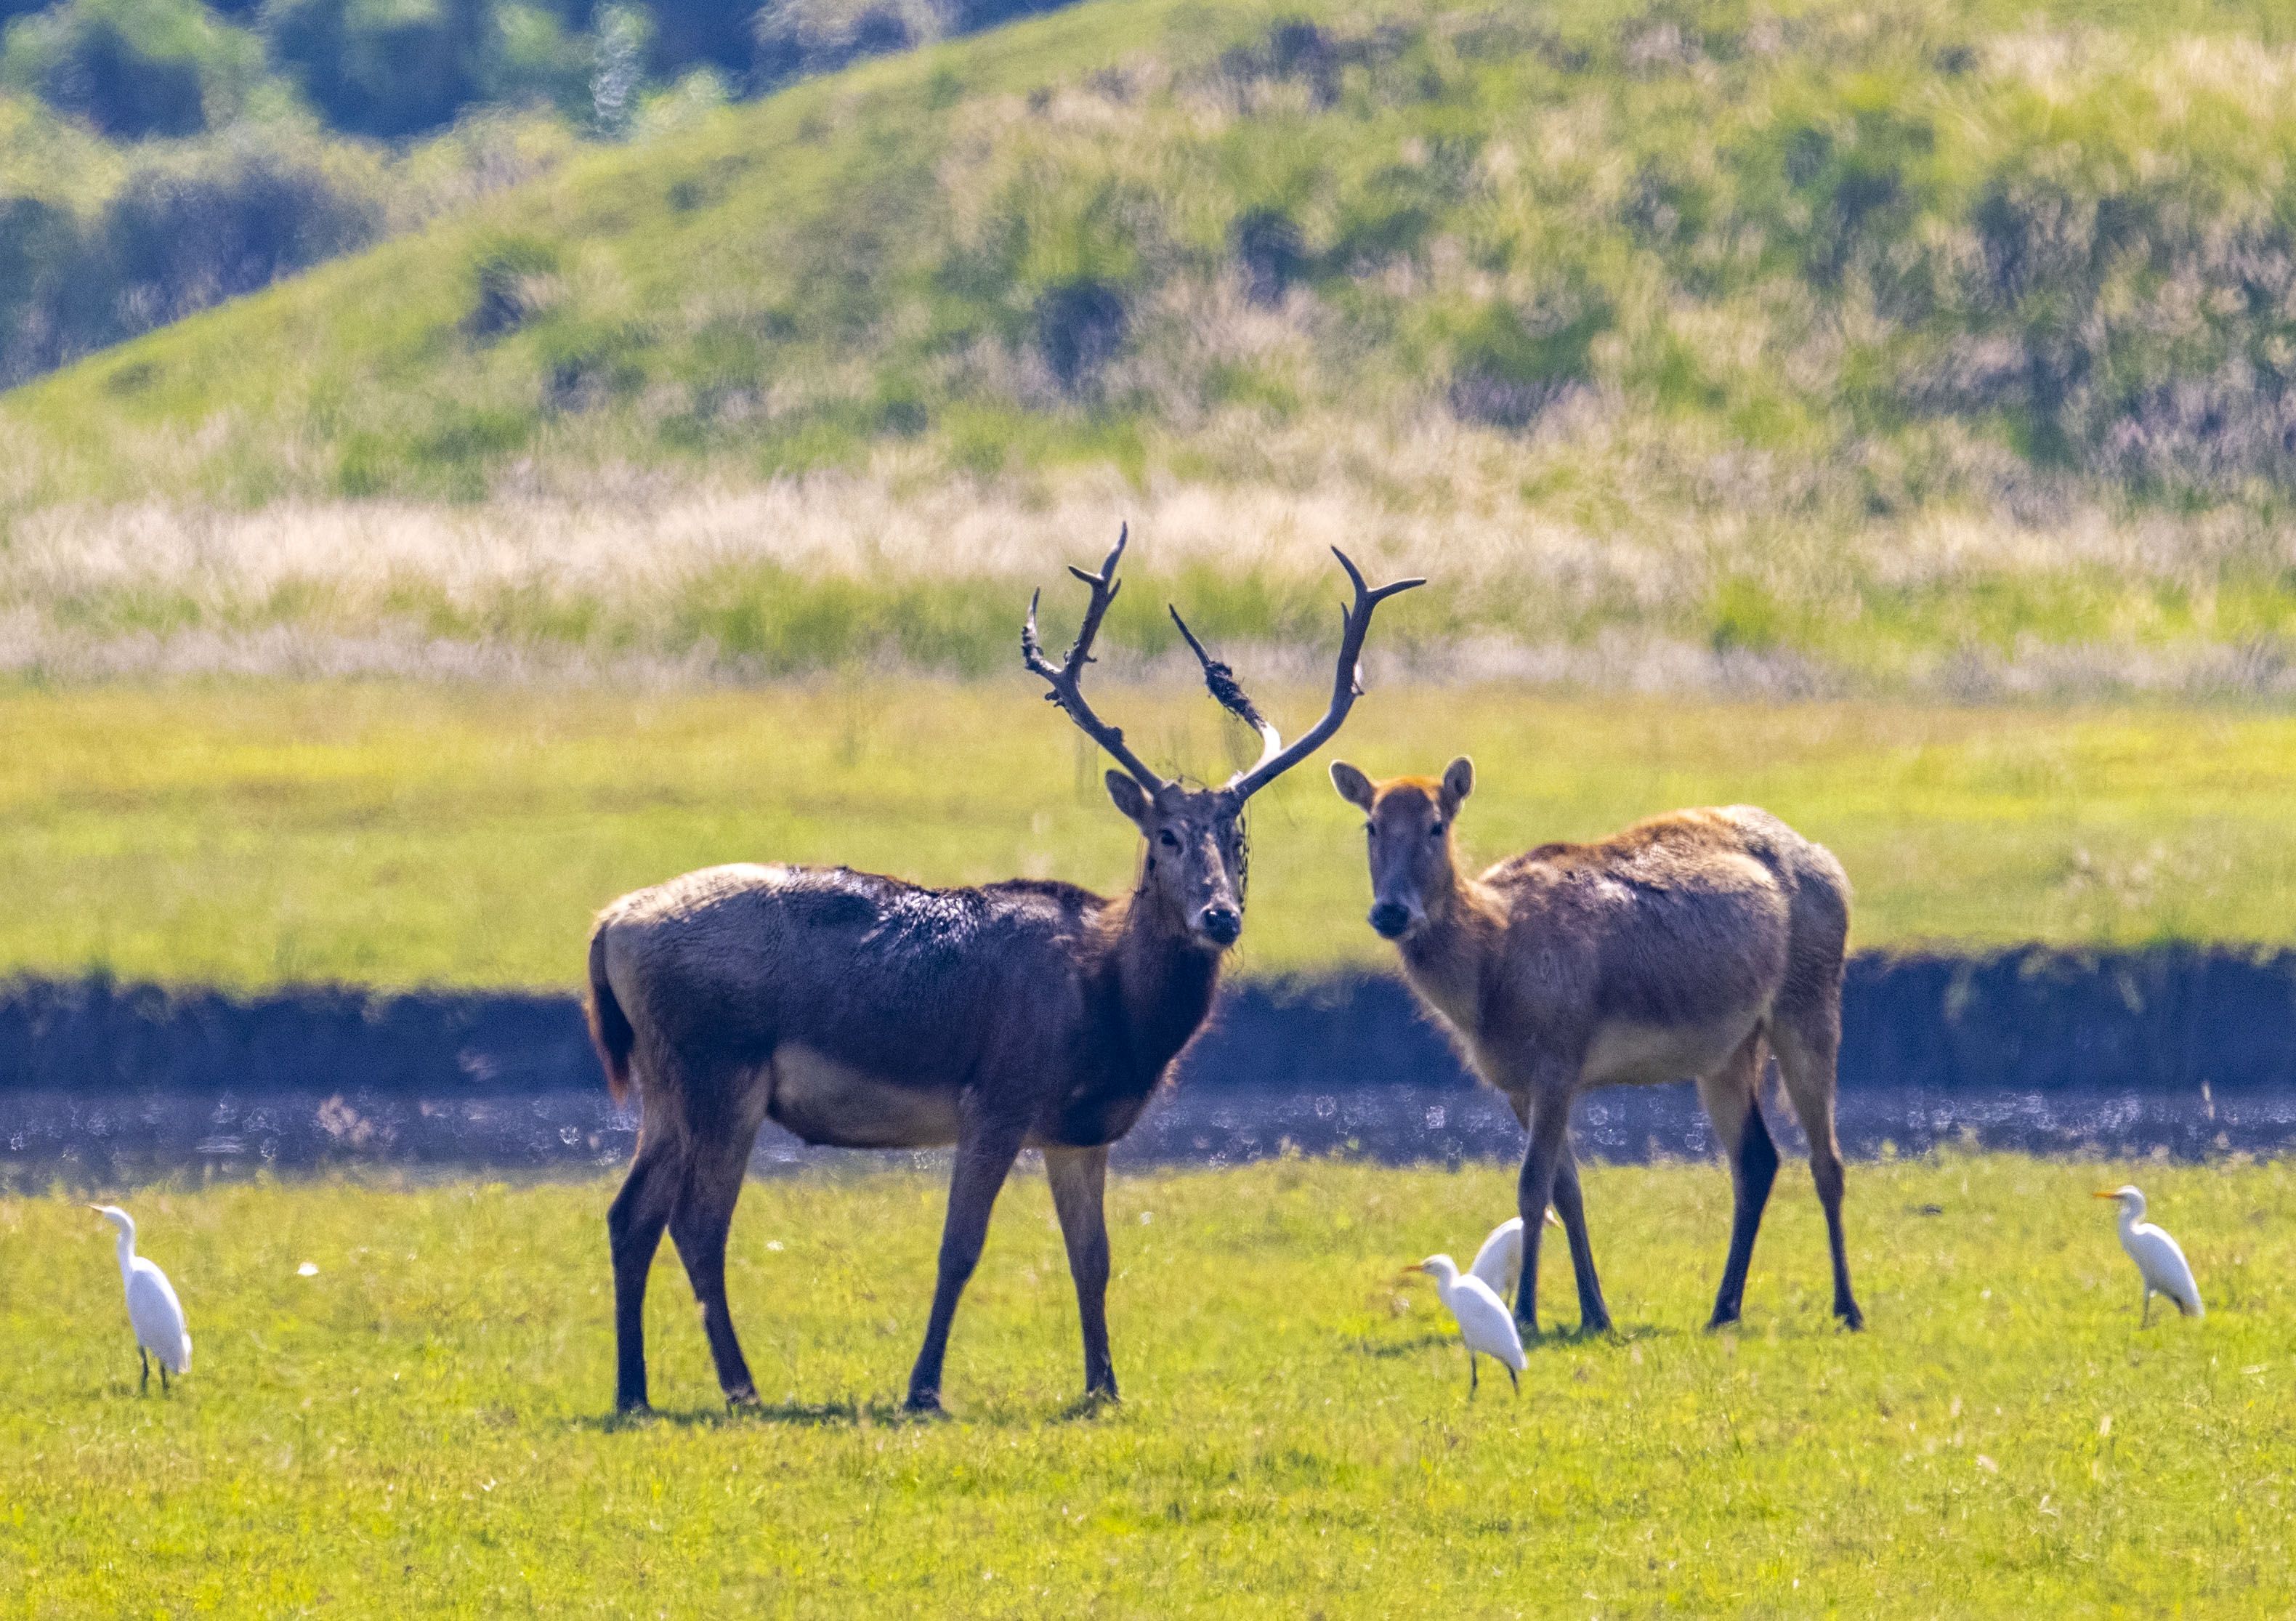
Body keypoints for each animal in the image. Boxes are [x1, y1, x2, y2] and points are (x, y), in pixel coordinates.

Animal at [592, 527, 1414, 1404]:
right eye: (1164, 836)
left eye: (1236, 837)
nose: (1220, 914)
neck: (1113, 1010)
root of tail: (610, 925)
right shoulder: (998, 1094)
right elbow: (961, 1248)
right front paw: (922, 1386)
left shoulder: (1082, 1129)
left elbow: (1094, 1260)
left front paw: (1104, 1386)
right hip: (720, 1066)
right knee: (696, 1221)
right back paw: (740, 1386)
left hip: (664, 1083)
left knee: (630, 1212)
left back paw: (634, 1390)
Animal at [1331, 757, 1864, 1341]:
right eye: (1371, 825)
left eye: (1437, 825)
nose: (1391, 912)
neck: (1489, 977)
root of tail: (1834, 868)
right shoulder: (1516, 1084)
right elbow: (1567, 1189)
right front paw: (1595, 1312)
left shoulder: (1559, 1058)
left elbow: (1532, 1186)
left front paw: (1526, 1313)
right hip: (1727, 1050)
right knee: (1757, 1160)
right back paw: (1723, 1309)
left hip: (1810, 999)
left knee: (1827, 1160)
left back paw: (1847, 1308)